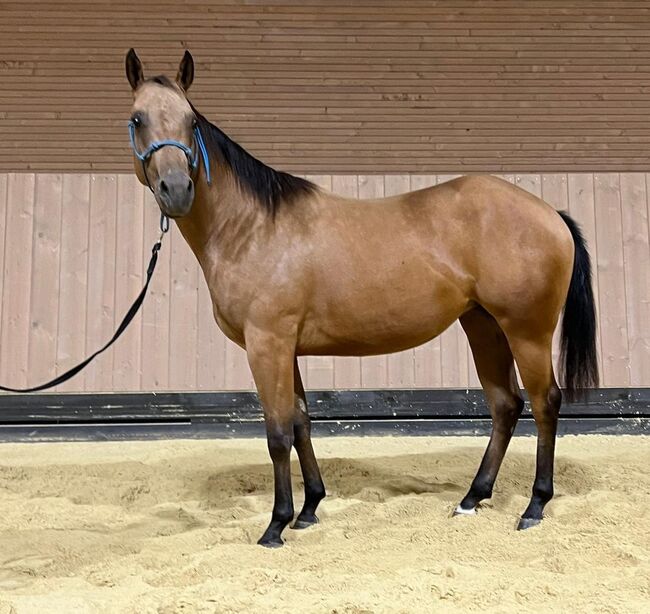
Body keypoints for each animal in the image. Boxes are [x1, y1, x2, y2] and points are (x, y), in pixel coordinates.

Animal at [123, 49, 596, 548]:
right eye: (137, 119)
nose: (177, 189)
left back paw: (534, 506)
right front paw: (309, 508)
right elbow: (301, 421)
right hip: (484, 326)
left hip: (527, 331)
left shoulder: (267, 344)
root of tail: (551, 213)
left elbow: (277, 433)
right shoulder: (285, 348)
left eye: (191, 121)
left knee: (544, 402)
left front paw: (276, 525)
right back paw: (471, 498)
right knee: (505, 404)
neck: (251, 228)